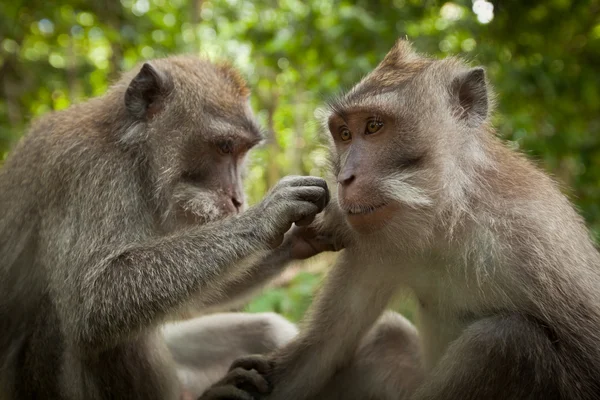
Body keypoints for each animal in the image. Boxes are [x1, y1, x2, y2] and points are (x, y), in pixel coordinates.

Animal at [0, 55, 332, 400]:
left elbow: (196, 298)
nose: (238, 200)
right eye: (224, 147)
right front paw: (266, 215)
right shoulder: (89, 171)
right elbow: (91, 301)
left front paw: (300, 237)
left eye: (241, 152)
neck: (131, 153)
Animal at [203, 39, 600, 400]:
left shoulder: (538, 242)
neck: (447, 222)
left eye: (374, 127)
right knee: (390, 335)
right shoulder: (369, 244)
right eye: (344, 134)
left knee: (503, 343)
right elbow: (317, 355)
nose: (345, 178)